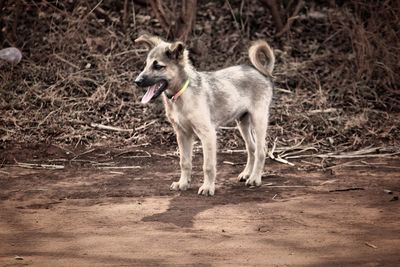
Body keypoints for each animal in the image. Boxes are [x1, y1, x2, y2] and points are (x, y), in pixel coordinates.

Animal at [135, 34, 276, 196]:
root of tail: (262, 72)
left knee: (261, 150)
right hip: (243, 122)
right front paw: (183, 183)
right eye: (146, 65)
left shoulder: (207, 134)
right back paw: (247, 173)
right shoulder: (182, 134)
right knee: (251, 148)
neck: (181, 93)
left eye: (158, 66)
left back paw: (255, 178)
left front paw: (208, 187)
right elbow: (184, 162)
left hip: (259, 119)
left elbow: (208, 166)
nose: (136, 81)